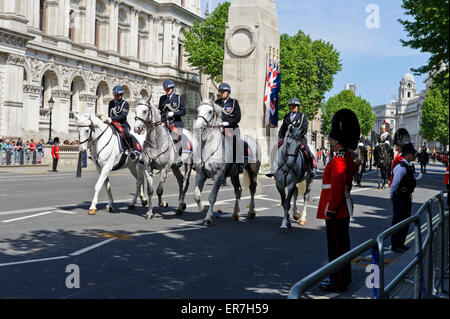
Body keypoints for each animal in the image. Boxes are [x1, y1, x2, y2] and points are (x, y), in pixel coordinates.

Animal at [192, 100, 262, 228]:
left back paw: (251, 212)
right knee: (238, 190)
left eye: (210, 111)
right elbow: (196, 194)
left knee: (252, 189)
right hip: (234, 174)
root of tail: (254, 141)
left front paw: (208, 219)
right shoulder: (201, 174)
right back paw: (235, 214)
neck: (210, 147)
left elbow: (212, 197)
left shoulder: (218, 176)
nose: (197, 127)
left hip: (253, 171)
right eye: (198, 110)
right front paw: (202, 208)